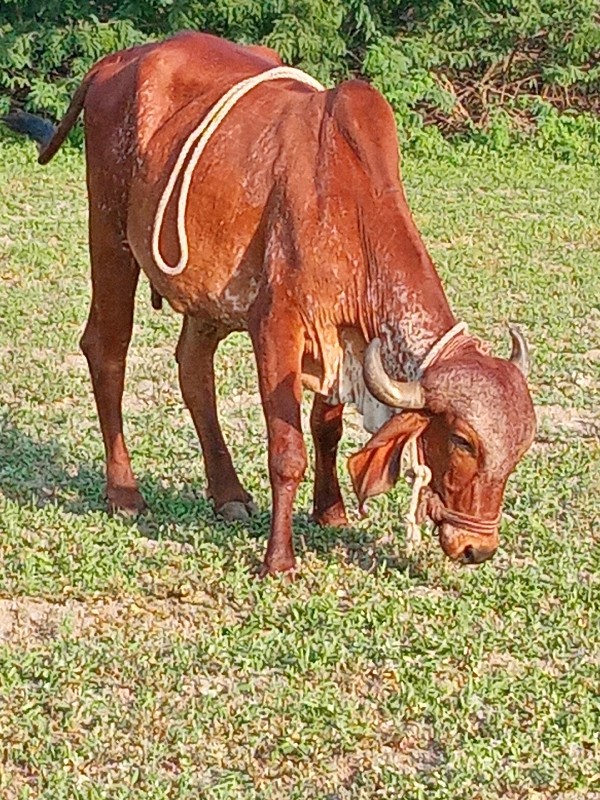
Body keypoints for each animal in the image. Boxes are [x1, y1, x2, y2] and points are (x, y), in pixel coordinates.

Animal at [4, 34, 536, 576]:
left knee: (193, 370)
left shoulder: (339, 336)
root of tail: (118, 60)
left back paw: (228, 493)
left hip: (208, 294)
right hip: (110, 236)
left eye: (521, 449)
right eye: (463, 440)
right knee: (107, 350)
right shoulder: (277, 326)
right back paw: (124, 491)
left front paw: (331, 511)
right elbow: (287, 451)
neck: (348, 204)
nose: (477, 548)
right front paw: (279, 559)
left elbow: (326, 428)